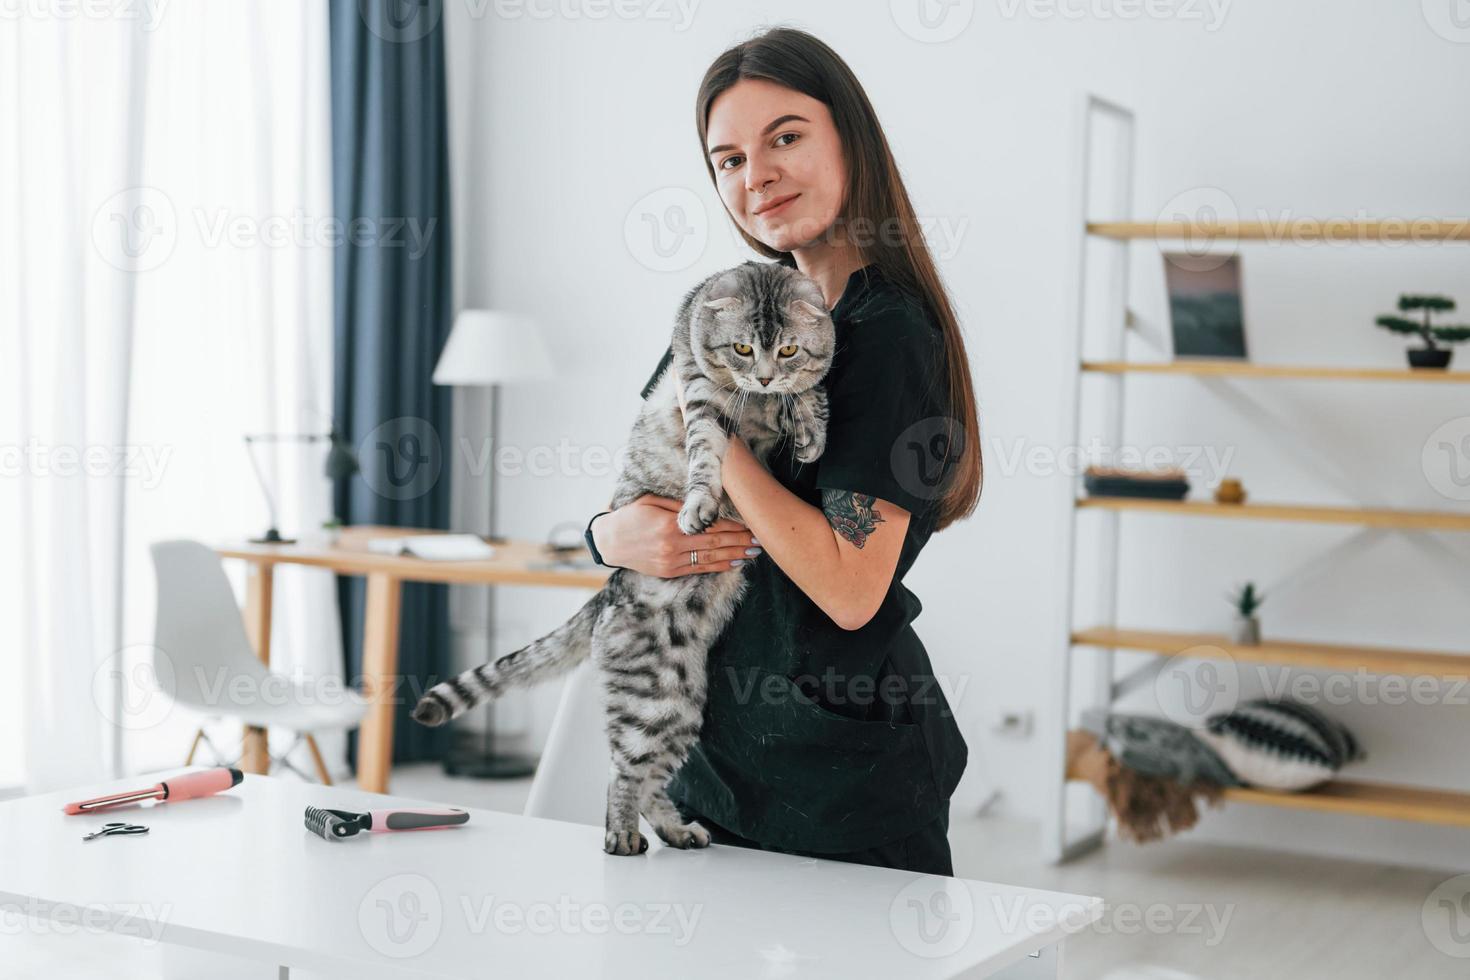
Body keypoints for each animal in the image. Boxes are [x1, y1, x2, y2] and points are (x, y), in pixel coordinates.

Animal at [414, 264, 834, 852]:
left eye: (789, 348)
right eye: (742, 347)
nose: (766, 377)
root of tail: (605, 593)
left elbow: (812, 392)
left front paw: (808, 425)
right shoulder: (697, 394)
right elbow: (708, 452)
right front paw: (702, 502)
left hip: (678, 706)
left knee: (652, 779)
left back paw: (677, 832)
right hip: (649, 703)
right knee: (621, 772)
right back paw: (621, 836)